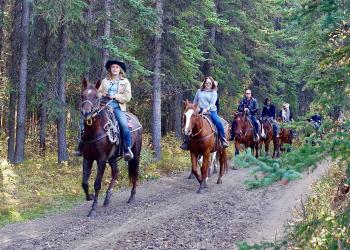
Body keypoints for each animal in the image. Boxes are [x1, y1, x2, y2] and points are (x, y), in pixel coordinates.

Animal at [80, 77, 142, 217]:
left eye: (96, 97)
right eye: (82, 95)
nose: (86, 113)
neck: (95, 131)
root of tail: (136, 120)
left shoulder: (102, 159)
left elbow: (97, 184)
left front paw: (93, 209)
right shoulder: (87, 158)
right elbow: (85, 183)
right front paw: (90, 196)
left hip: (135, 153)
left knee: (135, 171)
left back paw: (132, 197)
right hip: (113, 157)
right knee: (116, 172)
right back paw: (108, 197)